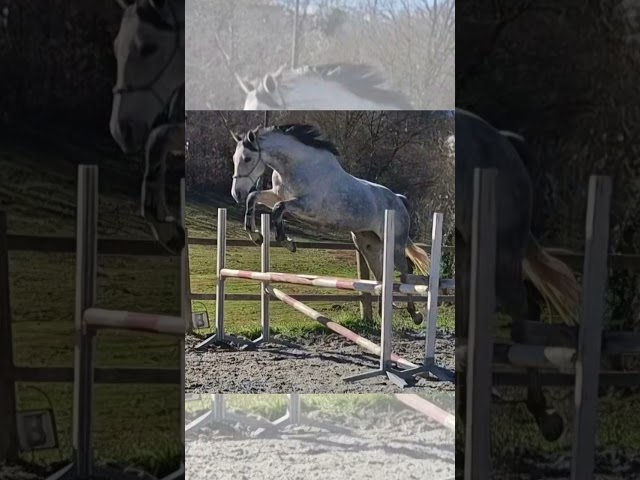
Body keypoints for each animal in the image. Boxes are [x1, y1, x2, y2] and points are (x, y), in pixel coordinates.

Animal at [110, 0, 185, 254]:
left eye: (149, 48)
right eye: (116, 48)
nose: (121, 131)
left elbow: (157, 137)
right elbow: (156, 143)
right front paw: (169, 232)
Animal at [229, 123, 431, 325]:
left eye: (247, 158)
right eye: (234, 159)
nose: (236, 194)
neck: (297, 167)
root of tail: (398, 200)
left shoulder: (307, 206)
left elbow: (279, 209)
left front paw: (287, 242)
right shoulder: (276, 196)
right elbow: (254, 197)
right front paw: (255, 235)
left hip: (394, 245)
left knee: (406, 270)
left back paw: (415, 314)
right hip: (369, 246)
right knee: (382, 275)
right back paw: (385, 312)